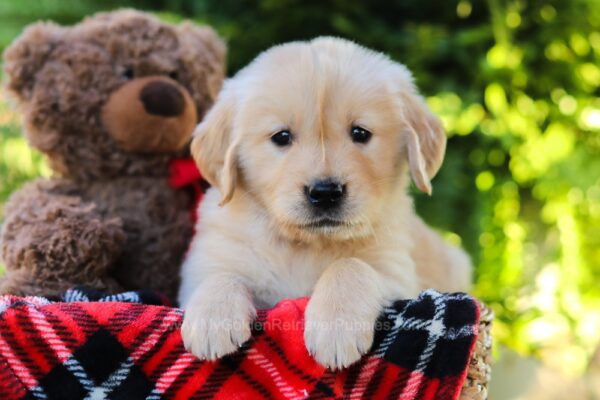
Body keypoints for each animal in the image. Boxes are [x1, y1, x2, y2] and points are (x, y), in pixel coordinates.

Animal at [180, 36, 472, 368]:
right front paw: (211, 318)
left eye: (360, 133)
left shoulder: (397, 273)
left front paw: (336, 327)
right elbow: (220, 274)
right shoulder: (205, 262)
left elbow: (351, 265)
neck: (305, 245)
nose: (325, 192)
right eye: (281, 136)